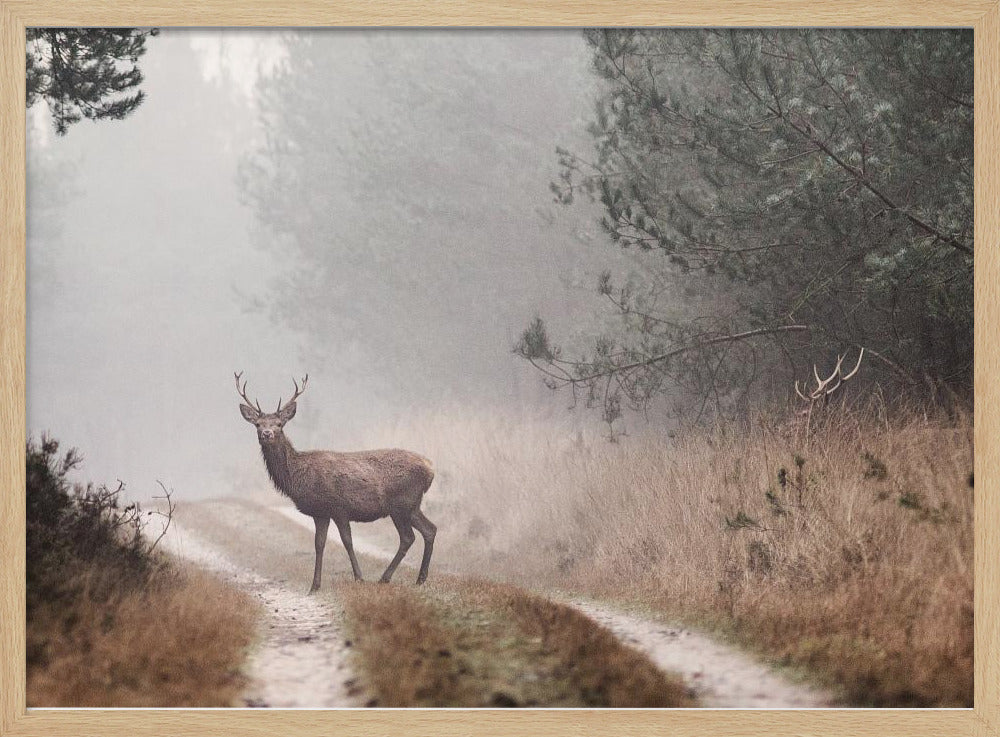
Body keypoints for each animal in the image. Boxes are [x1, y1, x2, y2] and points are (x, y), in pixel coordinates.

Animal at [235, 372, 437, 591]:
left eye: (279, 424)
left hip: (401, 504)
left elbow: (347, 541)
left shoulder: (339, 507)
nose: (267, 433)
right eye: (258, 424)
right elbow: (319, 544)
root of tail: (430, 469)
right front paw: (314, 586)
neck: (298, 478)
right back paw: (420, 579)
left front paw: (359, 578)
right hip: (412, 505)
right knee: (430, 530)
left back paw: (386, 578)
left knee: (408, 537)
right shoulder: (320, 512)